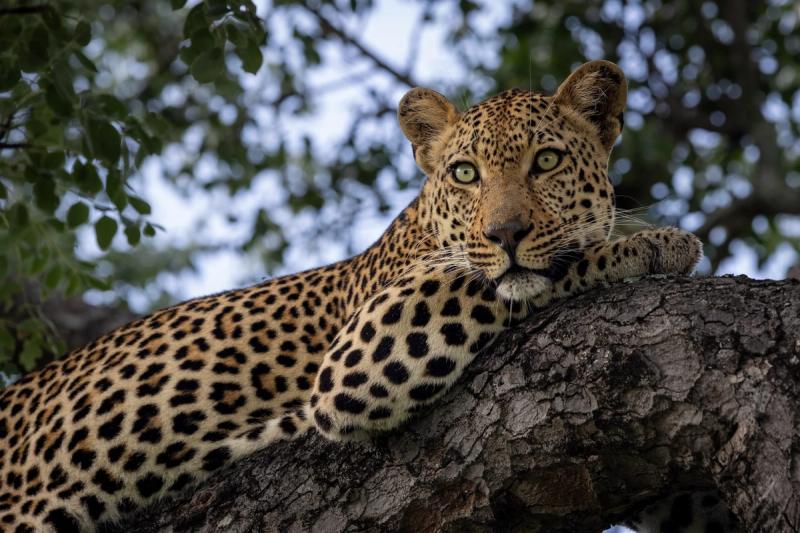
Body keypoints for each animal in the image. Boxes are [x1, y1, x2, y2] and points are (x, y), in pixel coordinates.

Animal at [0, 60, 708, 532]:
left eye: (548, 162)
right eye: (465, 173)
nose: (504, 233)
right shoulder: (365, 348)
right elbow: (513, 276)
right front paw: (653, 243)